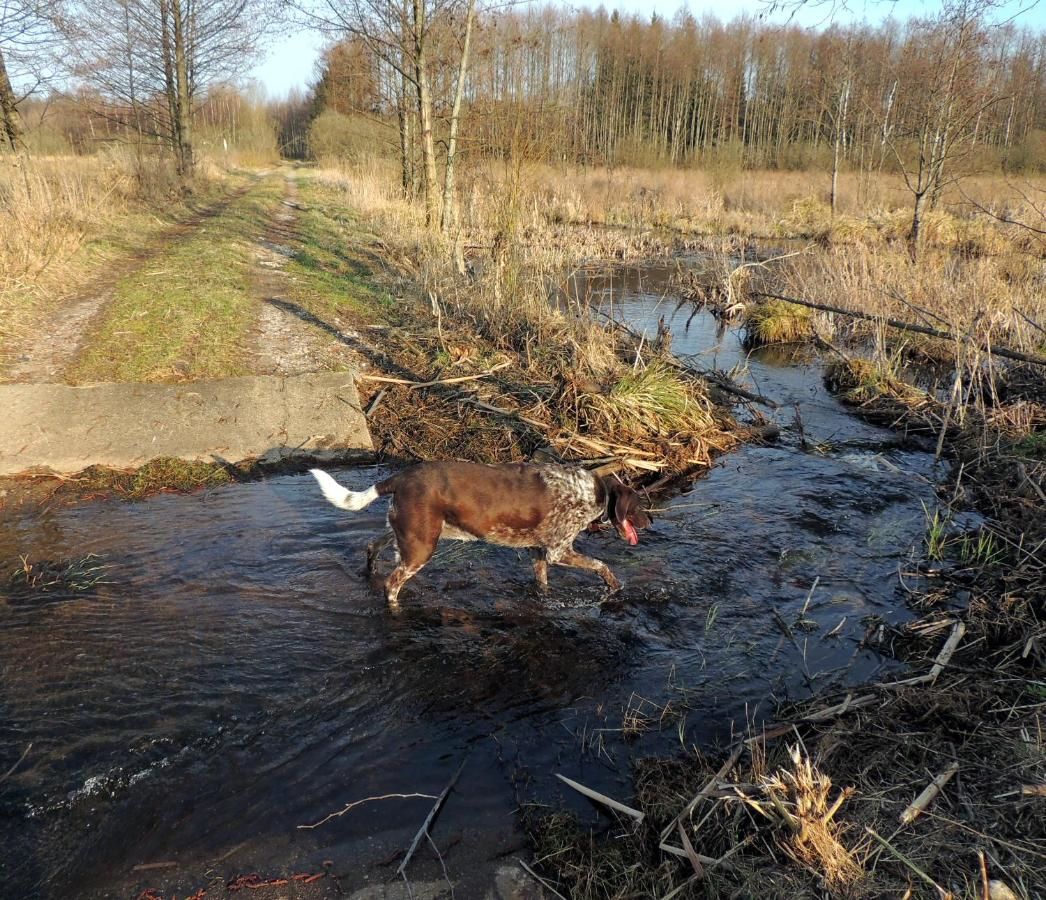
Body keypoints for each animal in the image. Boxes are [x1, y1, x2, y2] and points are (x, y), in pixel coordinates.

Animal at [309, 460, 648, 606]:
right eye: (638, 505)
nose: (648, 523)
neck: (593, 492)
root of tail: (399, 477)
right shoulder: (559, 551)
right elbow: (602, 566)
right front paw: (614, 587)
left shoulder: (539, 554)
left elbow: (542, 582)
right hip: (420, 548)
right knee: (392, 585)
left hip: (407, 533)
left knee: (371, 545)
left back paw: (369, 572)